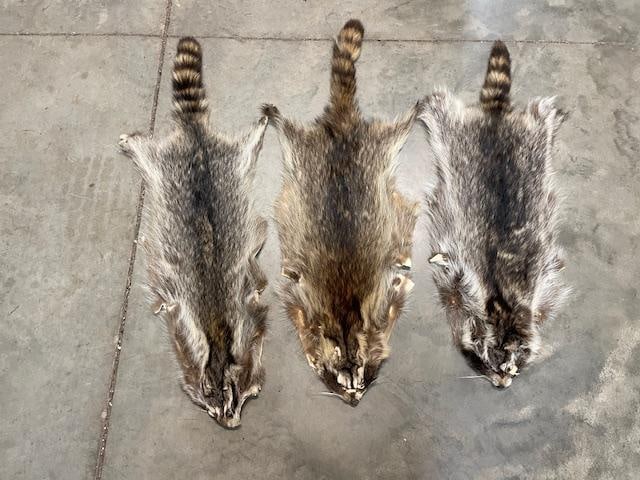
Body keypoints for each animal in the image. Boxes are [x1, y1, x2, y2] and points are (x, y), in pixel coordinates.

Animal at [118, 37, 269, 427]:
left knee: (247, 148)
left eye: (237, 398)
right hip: (167, 165)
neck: (217, 345)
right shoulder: (182, 323)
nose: (231, 423)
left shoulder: (249, 314)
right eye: (210, 403)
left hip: (227, 160)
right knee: (148, 151)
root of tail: (195, 136)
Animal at [262, 20, 419, 405]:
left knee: (397, 129)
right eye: (337, 380)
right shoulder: (305, 304)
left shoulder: (380, 308)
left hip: (372, 150)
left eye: (361, 380)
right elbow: (293, 298)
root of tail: (342, 128)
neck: (345, 321)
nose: (354, 401)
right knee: (290, 131)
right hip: (309, 152)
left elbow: (397, 289)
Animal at [419, 41, 570, 388]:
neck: (505, 304)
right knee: (443, 113)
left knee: (539, 116)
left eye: (514, 365)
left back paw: (549, 117)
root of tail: (495, 117)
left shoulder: (542, 277)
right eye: (485, 359)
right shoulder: (454, 278)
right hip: (456, 136)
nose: (502, 384)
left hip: (531, 138)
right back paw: (432, 106)